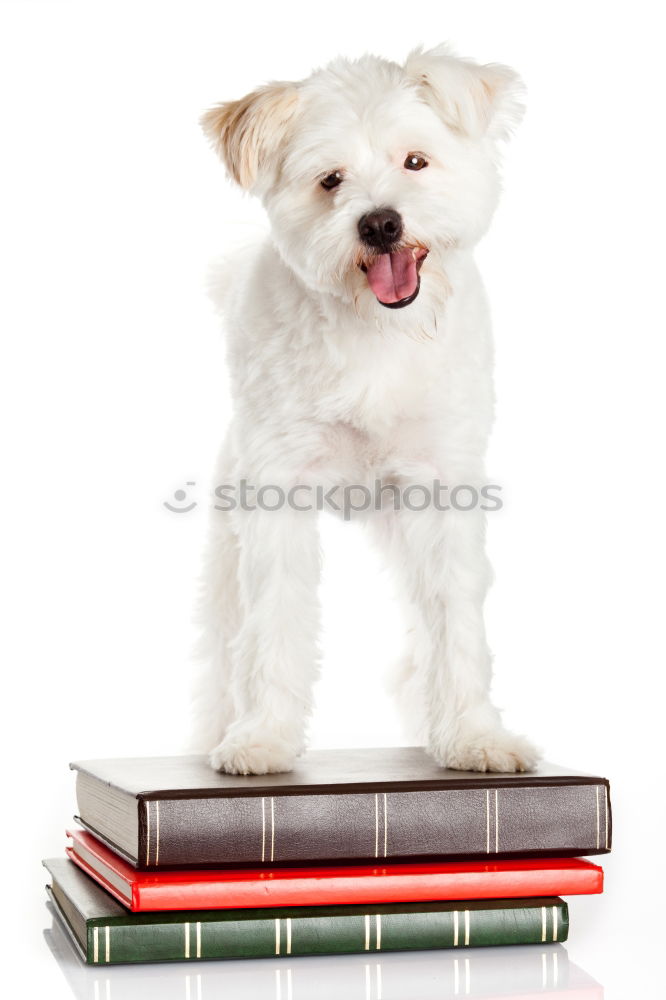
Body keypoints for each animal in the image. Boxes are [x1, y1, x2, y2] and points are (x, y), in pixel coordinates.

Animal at [192, 43, 540, 776]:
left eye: (416, 161)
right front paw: (263, 738)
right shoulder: (277, 491)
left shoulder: (442, 489)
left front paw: (474, 736)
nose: (380, 223)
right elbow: (275, 622)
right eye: (330, 179)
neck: (377, 332)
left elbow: (454, 620)